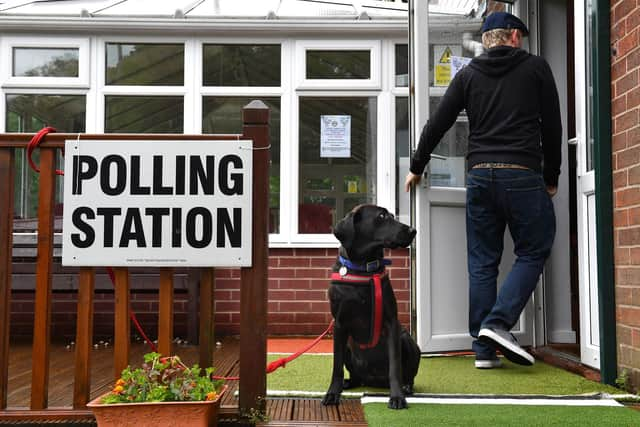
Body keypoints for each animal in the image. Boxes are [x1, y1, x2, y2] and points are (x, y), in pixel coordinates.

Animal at [322, 206, 422, 410]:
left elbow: (395, 367)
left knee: (407, 375)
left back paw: (406, 387)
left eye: (392, 215)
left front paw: (397, 397)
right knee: (355, 376)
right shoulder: (339, 325)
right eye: (382, 216)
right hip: (349, 347)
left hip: (407, 341)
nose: (413, 230)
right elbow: (336, 366)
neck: (362, 269)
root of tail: (372, 380)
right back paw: (348, 383)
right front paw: (333, 393)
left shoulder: (391, 323)